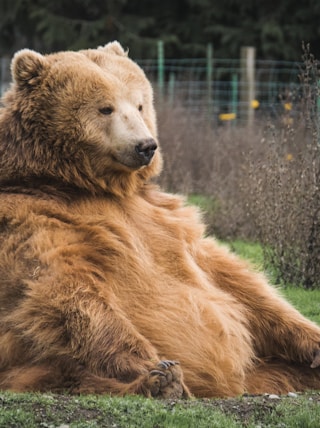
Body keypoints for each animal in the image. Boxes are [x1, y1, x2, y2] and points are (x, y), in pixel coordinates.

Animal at [0, 41, 320, 400]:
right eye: (106, 108)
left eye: (139, 104)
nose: (146, 146)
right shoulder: (38, 218)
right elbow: (69, 292)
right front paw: (157, 367)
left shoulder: (165, 218)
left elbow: (234, 278)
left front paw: (314, 342)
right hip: (31, 363)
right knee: (70, 372)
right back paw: (161, 383)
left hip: (266, 367)